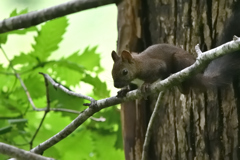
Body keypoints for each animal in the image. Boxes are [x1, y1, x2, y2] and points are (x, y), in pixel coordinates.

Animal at [111, 6, 240, 97]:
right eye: (112, 72)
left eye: (125, 72)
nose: (116, 85)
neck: (137, 66)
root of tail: (200, 75)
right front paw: (124, 91)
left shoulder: (151, 66)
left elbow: (159, 70)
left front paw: (146, 84)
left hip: (180, 61)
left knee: (187, 88)